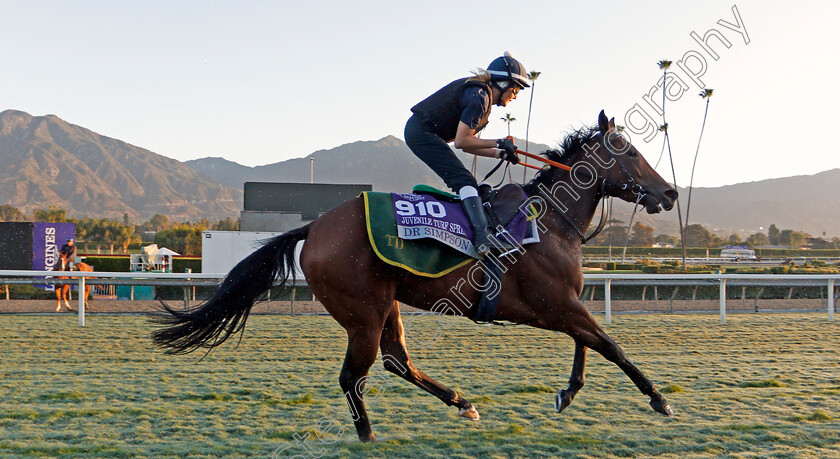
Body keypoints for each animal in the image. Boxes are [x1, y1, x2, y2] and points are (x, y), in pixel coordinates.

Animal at [153, 110, 676, 442]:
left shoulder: (562, 306)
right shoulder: (552, 305)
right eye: (628, 151)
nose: (669, 193)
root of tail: (313, 226)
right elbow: (609, 345)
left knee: (396, 361)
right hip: (362, 312)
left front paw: (568, 393)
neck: (548, 220)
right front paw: (659, 399)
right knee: (355, 374)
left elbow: (588, 344)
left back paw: (461, 402)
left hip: (387, 303)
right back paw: (367, 433)